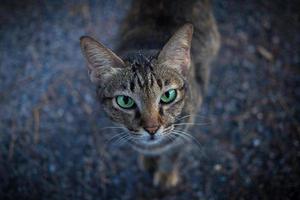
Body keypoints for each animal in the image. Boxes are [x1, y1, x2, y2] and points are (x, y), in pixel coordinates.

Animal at [79, 0, 220, 188]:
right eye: (125, 101)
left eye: (168, 96)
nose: (152, 129)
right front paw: (149, 159)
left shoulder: (186, 129)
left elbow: (173, 152)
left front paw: (166, 173)